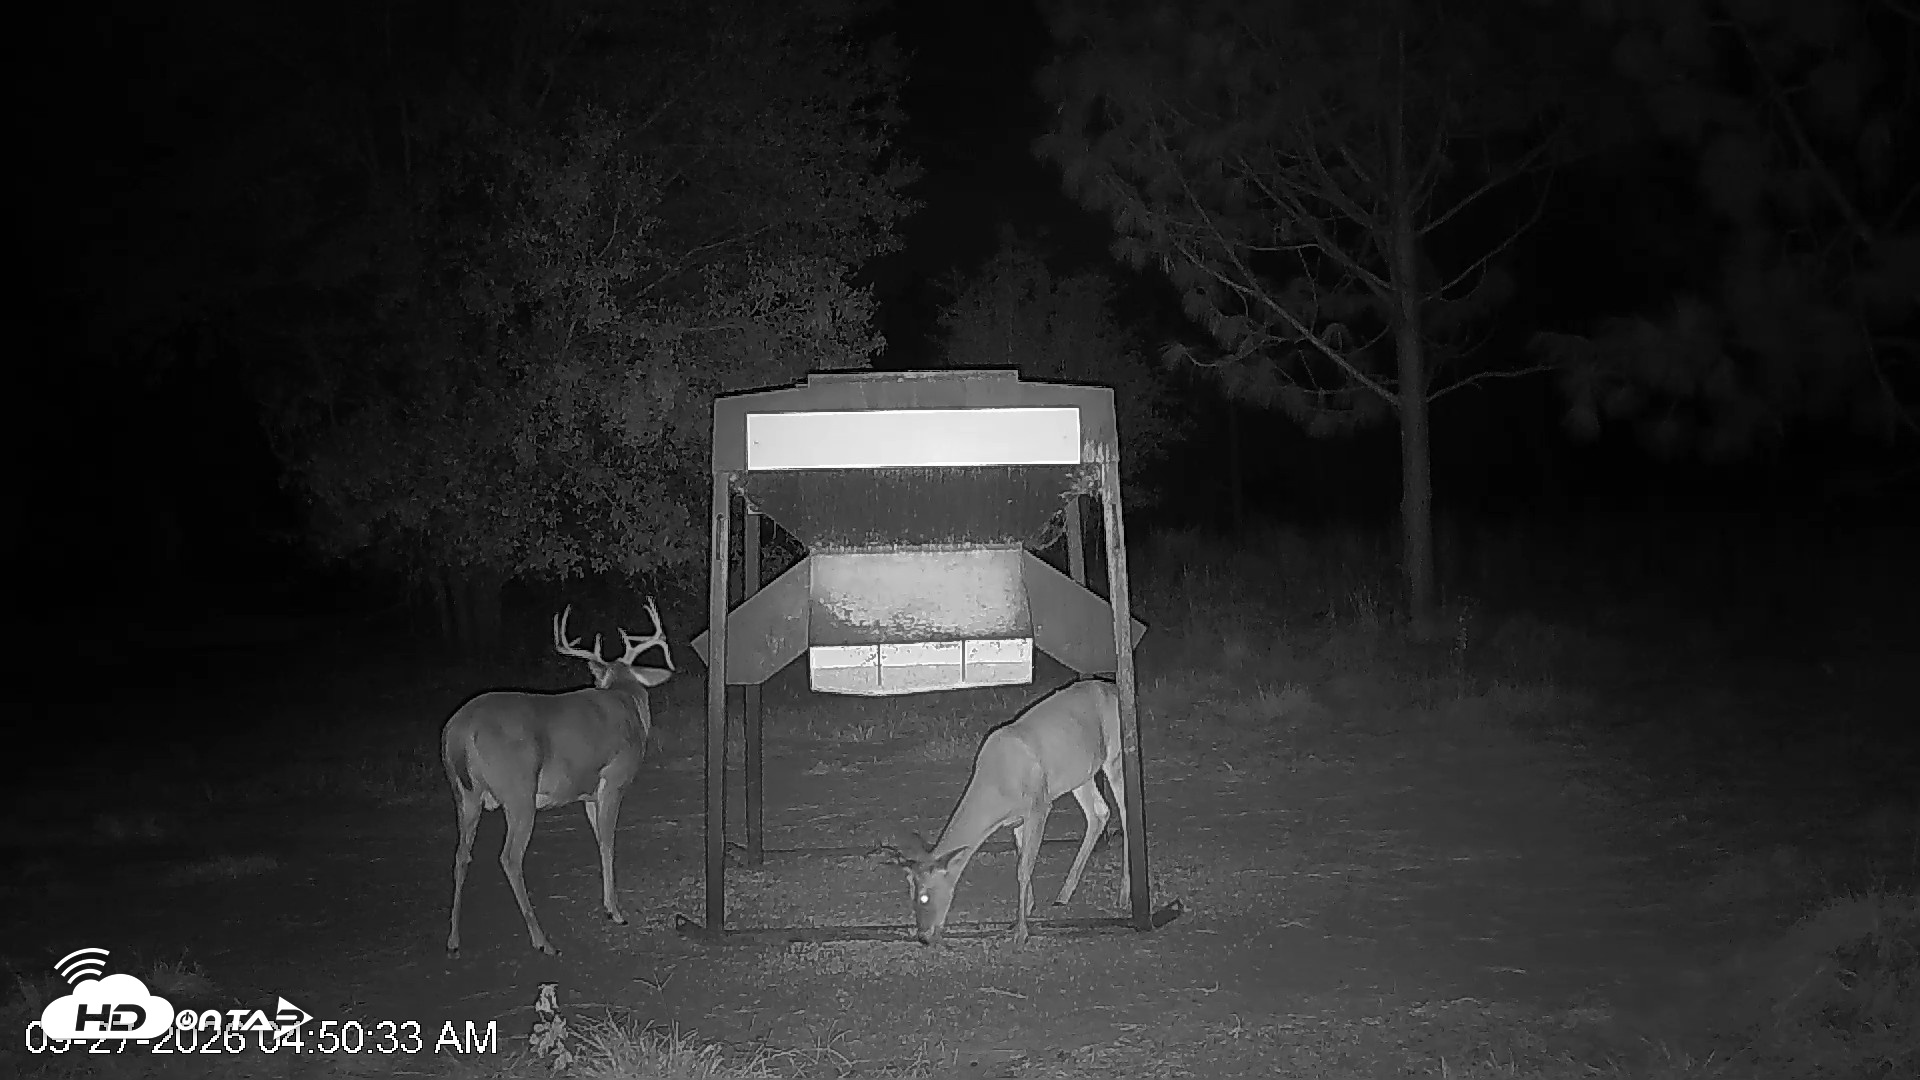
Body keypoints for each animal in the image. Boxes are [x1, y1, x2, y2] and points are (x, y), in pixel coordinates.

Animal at [441, 599, 674, 957]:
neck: (626, 699)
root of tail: (459, 731)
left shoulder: (588, 793)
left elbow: (599, 839)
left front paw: (607, 905)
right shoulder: (614, 778)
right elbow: (609, 841)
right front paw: (616, 911)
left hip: (464, 794)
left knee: (460, 855)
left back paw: (454, 938)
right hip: (518, 791)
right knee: (510, 857)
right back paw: (542, 940)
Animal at [875, 678, 1129, 946]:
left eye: (925, 895)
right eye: (910, 892)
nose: (923, 936)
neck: (997, 786)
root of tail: (1113, 688)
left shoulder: (1039, 805)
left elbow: (1023, 869)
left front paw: (1021, 932)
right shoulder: (1017, 819)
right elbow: (1021, 860)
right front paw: (1024, 912)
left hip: (1115, 757)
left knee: (1124, 813)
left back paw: (1123, 895)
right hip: (1080, 772)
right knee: (1099, 812)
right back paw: (1064, 894)